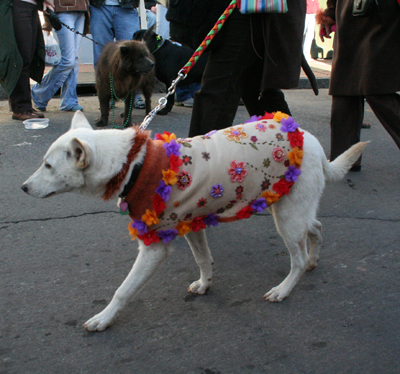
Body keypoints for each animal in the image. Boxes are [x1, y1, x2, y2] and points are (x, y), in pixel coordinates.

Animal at [21, 112, 366, 334]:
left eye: (48, 166)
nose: (22, 188)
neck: (132, 164)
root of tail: (314, 143)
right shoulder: (192, 226)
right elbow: (204, 260)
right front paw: (204, 284)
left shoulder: (154, 249)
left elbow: (123, 290)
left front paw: (104, 319)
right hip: (294, 208)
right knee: (316, 229)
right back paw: (314, 260)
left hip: (288, 217)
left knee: (298, 257)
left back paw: (284, 288)